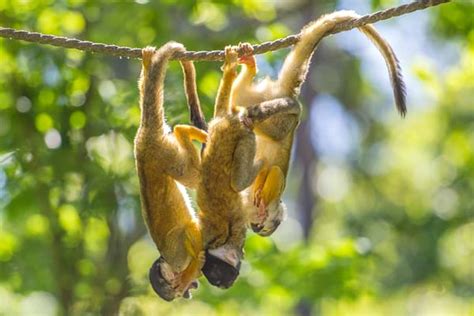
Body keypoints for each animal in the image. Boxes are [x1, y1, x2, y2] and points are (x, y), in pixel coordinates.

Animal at [134, 42, 206, 302]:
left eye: (178, 291)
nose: (189, 292)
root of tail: (144, 138)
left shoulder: (177, 258)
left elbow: (190, 231)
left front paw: (190, 272)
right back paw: (148, 65)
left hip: (165, 154)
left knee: (193, 176)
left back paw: (185, 130)